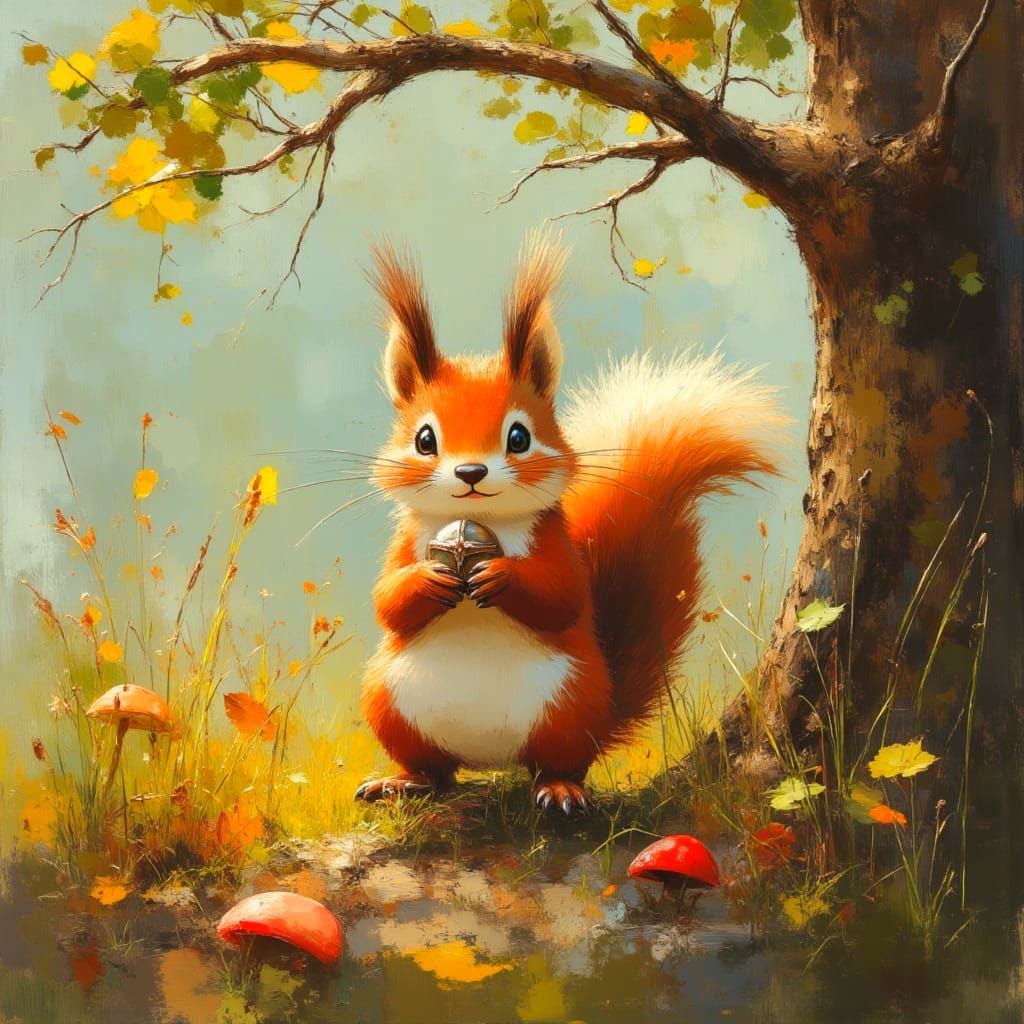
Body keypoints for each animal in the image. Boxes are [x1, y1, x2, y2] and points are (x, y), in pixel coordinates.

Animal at [355, 236, 781, 813]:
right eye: (424, 439)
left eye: (519, 437)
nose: (471, 473)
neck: (481, 521)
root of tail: (490, 760)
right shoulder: (404, 542)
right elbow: (386, 599)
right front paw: (427, 580)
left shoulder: (556, 542)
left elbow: (562, 595)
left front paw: (502, 576)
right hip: (389, 699)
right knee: (435, 770)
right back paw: (404, 781)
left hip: (569, 707)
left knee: (558, 762)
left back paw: (559, 789)